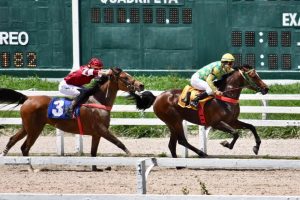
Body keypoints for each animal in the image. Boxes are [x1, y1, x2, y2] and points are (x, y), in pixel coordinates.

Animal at [0, 67, 144, 169]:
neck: (99, 102)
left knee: (13, 140)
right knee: (25, 147)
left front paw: (95, 168)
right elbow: (119, 143)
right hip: (35, 129)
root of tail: (28, 98)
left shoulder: (96, 134)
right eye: (125, 77)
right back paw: (31, 168)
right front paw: (132, 156)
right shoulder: (102, 130)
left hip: (27, 127)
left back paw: (5, 157)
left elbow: (93, 152)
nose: (141, 85)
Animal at [131, 64, 270, 158]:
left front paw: (256, 147)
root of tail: (157, 97)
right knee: (182, 141)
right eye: (253, 75)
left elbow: (251, 127)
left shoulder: (232, 121)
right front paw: (226, 144)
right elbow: (235, 133)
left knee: (172, 144)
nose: (266, 88)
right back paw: (202, 153)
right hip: (174, 121)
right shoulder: (216, 123)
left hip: (173, 123)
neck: (225, 96)